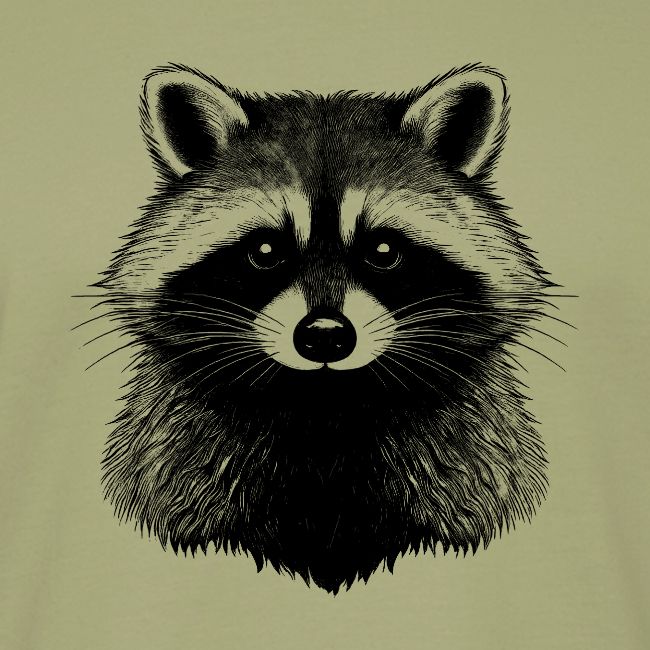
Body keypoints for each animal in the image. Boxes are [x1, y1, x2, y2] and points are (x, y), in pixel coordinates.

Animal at [92, 63, 556, 594]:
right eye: (265, 251)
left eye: (383, 251)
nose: (325, 335)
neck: (325, 408)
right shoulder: (182, 458)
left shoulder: (467, 459)